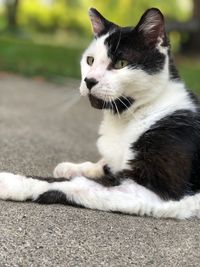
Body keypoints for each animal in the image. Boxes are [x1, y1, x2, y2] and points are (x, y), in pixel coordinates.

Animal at [0, 7, 200, 220]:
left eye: (121, 63)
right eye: (90, 60)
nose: (89, 80)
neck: (127, 118)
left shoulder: (151, 190)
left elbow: (76, 185)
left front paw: (12, 182)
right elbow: (105, 164)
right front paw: (74, 167)